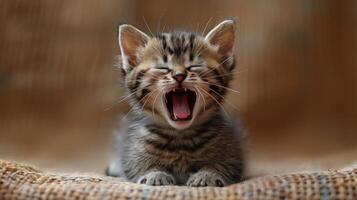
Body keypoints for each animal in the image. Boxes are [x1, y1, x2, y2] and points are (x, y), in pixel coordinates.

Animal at [106, 19, 245, 187]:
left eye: (195, 66)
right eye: (162, 68)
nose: (179, 75)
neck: (180, 136)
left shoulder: (233, 152)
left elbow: (224, 164)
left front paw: (208, 174)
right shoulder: (131, 148)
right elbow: (137, 164)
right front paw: (154, 174)